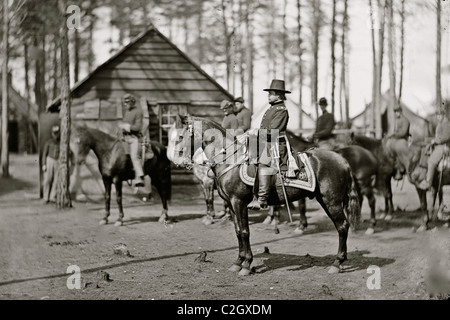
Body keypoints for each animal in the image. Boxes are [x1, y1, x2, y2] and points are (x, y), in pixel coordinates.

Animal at [167, 116, 360, 276]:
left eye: (180, 137)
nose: (177, 160)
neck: (229, 160)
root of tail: (342, 159)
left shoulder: (239, 202)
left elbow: (245, 232)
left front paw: (246, 265)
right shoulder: (231, 204)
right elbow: (238, 232)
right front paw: (238, 262)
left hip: (331, 201)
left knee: (342, 226)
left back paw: (337, 263)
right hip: (325, 200)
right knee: (341, 226)